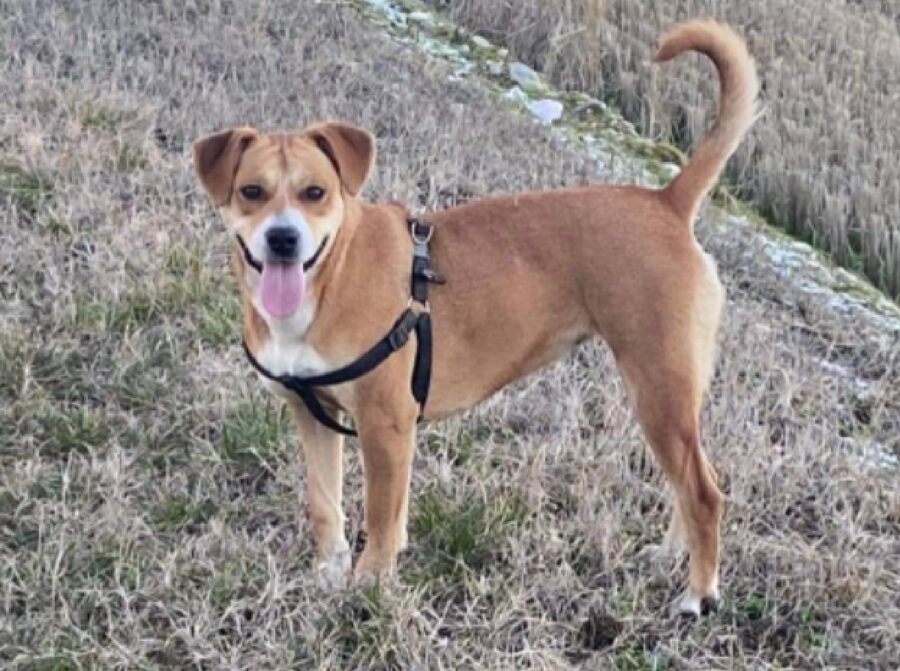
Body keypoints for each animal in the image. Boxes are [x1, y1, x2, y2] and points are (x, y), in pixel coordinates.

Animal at [192, 18, 760, 616]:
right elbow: (325, 503)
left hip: (658, 388)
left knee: (702, 490)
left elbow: (381, 516)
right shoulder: (312, 414)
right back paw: (672, 555)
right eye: (251, 192)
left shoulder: (385, 425)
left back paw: (697, 594)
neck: (330, 275)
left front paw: (369, 587)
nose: (282, 239)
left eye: (315, 192)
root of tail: (667, 202)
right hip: (670, 399)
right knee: (689, 480)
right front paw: (329, 572)